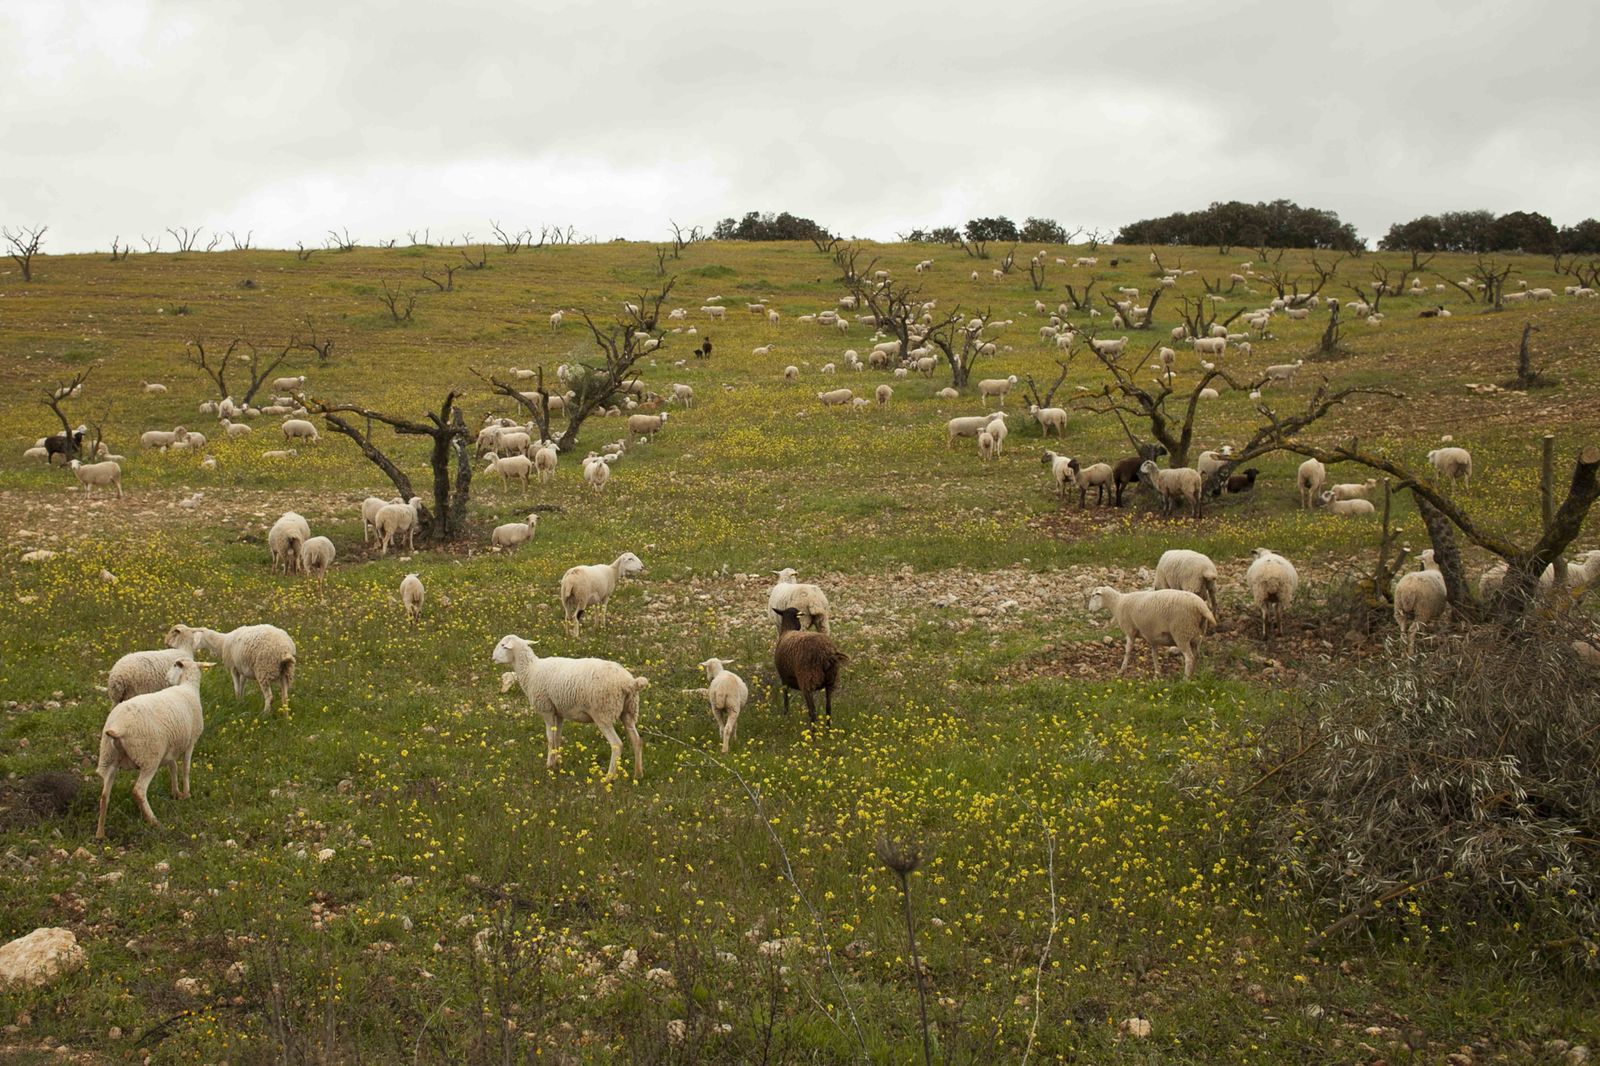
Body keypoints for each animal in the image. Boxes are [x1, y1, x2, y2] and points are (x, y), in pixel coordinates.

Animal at [94, 658, 210, 837]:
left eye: (174, 666)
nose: (167, 679)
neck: (188, 687)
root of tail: (117, 728)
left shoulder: (170, 748)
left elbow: (173, 767)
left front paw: (176, 793)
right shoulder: (191, 742)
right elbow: (186, 769)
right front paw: (186, 794)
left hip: (109, 758)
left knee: (105, 796)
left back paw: (100, 833)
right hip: (149, 757)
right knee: (138, 791)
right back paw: (154, 821)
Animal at [166, 623, 296, 713]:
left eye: (175, 633)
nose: (166, 644)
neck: (222, 642)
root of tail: (285, 649)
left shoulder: (234, 668)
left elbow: (236, 688)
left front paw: (237, 702)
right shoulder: (242, 669)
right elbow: (242, 686)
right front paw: (241, 702)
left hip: (263, 670)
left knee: (270, 697)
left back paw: (265, 715)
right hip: (285, 673)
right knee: (285, 698)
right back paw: (285, 719)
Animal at [493, 634, 648, 778]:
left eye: (503, 645)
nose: (492, 657)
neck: (530, 670)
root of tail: (630, 683)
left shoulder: (546, 709)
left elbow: (550, 738)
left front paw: (549, 765)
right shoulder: (559, 712)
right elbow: (557, 737)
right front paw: (558, 764)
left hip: (603, 713)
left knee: (617, 745)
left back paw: (609, 778)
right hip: (629, 711)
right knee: (637, 740)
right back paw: (638, 774)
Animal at [1085, 586, 1214, 680]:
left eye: (1093, 596)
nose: (1090, 610)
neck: (1117, 603)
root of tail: (1201, 606)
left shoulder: (1130, 630)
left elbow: (1128, 651)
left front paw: (1121, 670)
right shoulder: (1152, 636)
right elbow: (1154, 654)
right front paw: (1157, 672)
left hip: (1181, 632)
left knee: (1189, 658)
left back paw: (1185, 680)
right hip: (1196, 635)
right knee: (1196, 655)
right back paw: (1193, 675)